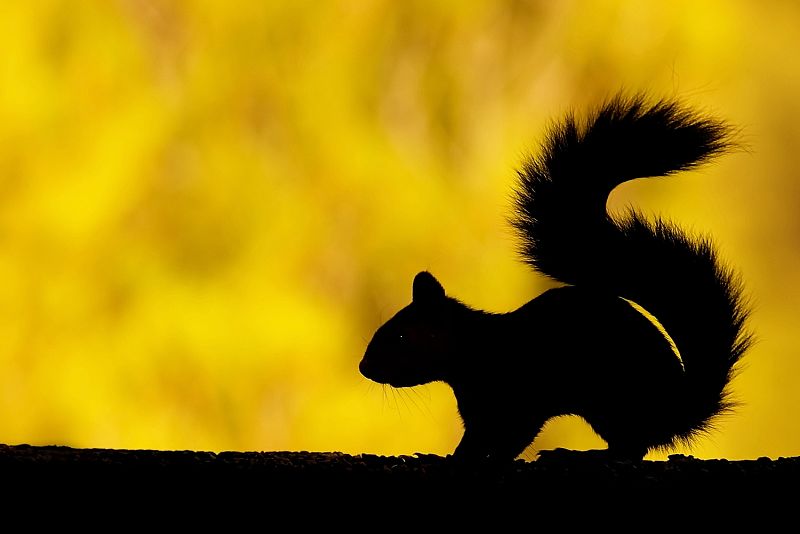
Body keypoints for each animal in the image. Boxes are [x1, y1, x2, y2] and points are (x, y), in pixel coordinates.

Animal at [360, 94, 752, 462]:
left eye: (399, 336)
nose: (364, 368)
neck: (476, 348)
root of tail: (679, 410)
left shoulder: (518, 398)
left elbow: (511, 438)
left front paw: (473, 458)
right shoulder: (479, 410)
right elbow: (475, 437)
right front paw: (452, 455)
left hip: (611, 402)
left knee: (630, 447)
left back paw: (582, 454)